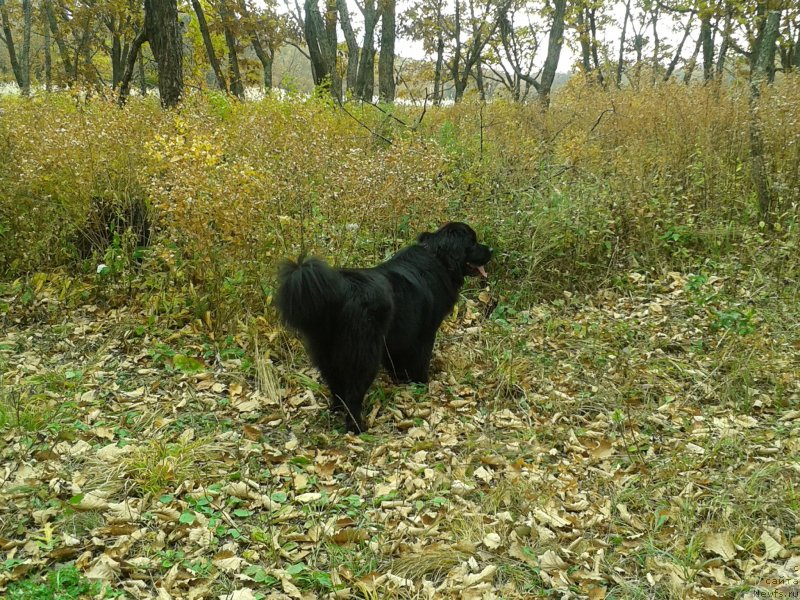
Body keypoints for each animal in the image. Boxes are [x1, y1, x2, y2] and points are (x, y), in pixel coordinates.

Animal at [276, 220, 490, 432]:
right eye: (472, 242)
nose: (492, 250)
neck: (439, 257)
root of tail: (340, 293)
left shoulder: (397, 336)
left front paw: (401, 378)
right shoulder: (425, 333)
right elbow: (421, 360)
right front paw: (421, 383)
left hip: (328, 354)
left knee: (336, 386)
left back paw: (337, 410)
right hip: (364, 356)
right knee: (353, 393)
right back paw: (356, 427)